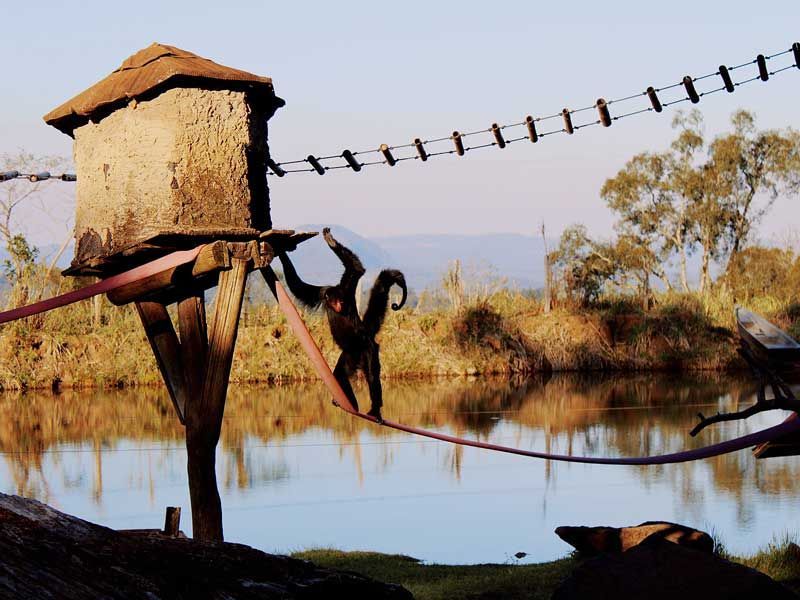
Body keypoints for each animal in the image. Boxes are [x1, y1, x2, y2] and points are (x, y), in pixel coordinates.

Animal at [277, 227, 407, 423]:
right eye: (334, 300)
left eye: (341, 300)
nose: (338, 304)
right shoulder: (322, 292)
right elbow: (299, 287)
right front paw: (281, 253)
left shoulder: (346, 288)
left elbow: (356, 269)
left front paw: (331, 241)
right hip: (349, 355)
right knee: (340, 375)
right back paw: (351, 405)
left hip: (367, 348)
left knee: (371, 375)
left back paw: (375, 410)